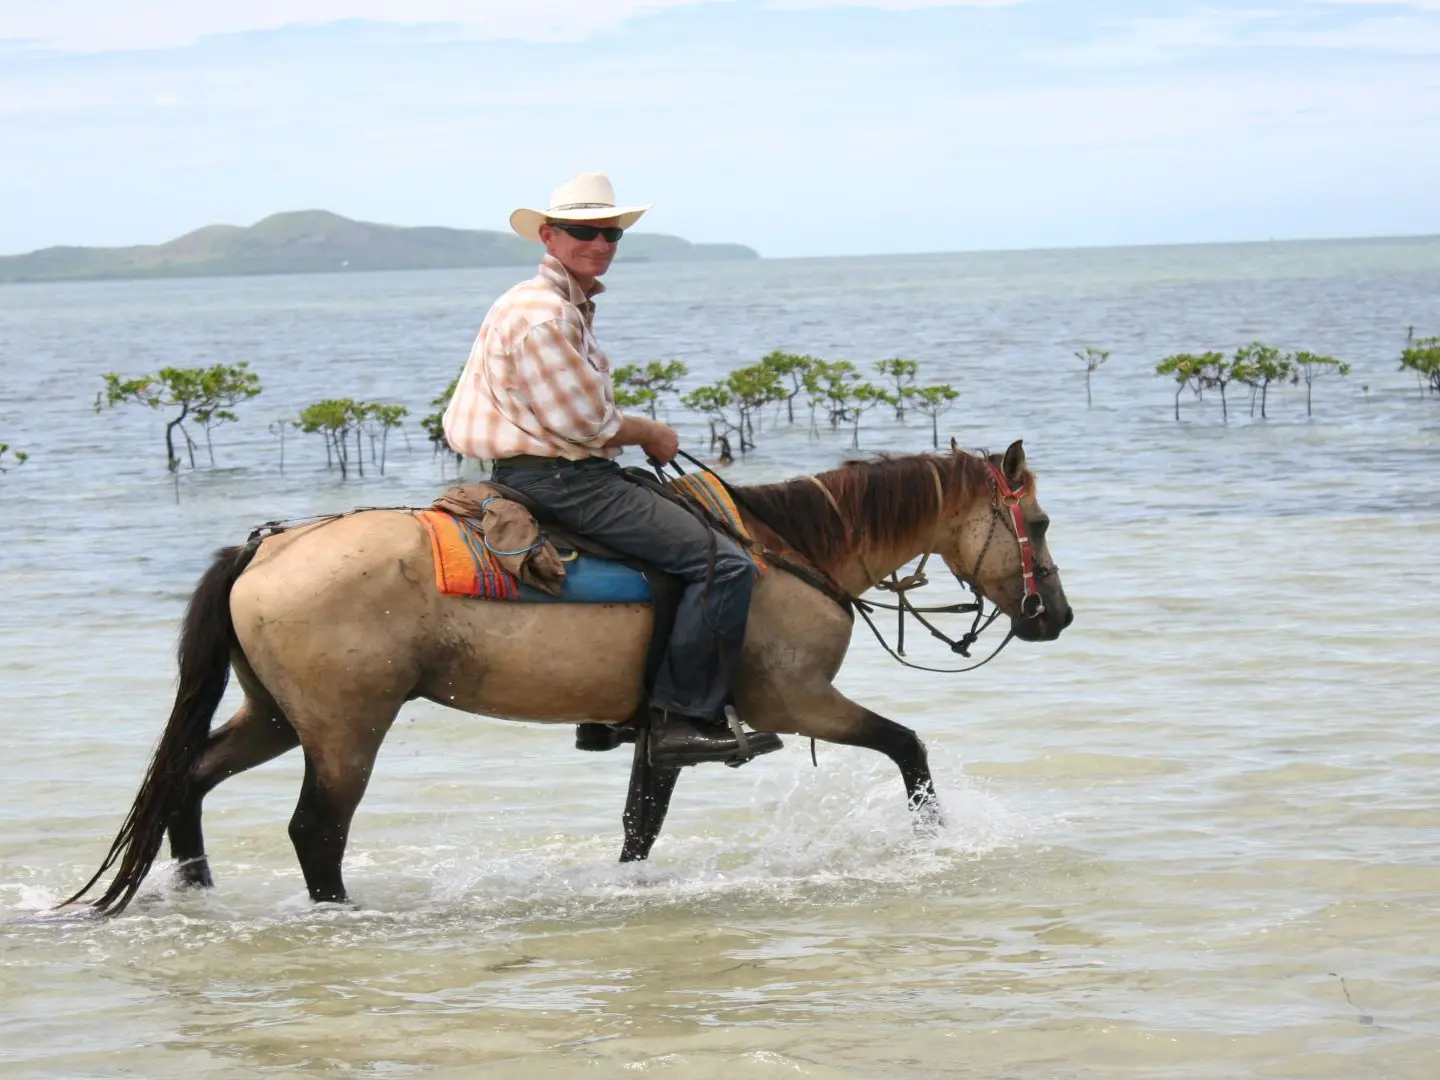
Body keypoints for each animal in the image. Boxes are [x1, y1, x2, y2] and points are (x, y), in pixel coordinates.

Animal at [64, 443, 1071, 915]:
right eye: (1040, 522)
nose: (1053, 616)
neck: (788, 552)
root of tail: (267, 548)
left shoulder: (667, 730)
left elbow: (639, 827)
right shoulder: (796, 700)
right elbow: (909, 748)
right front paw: (933, 839)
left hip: (274, 714)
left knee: (189, 784)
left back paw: (199, 892)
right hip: (346, 732)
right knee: (315, 831)